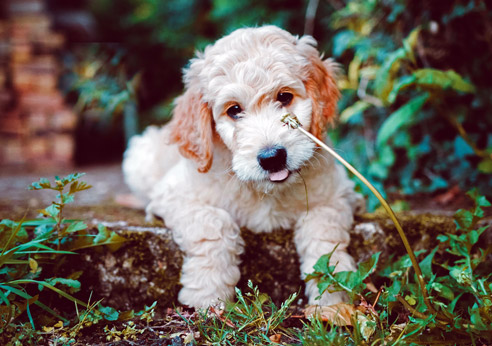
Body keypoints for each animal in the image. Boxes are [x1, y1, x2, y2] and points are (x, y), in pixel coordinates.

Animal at [121, 26, 364, 308]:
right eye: (234, 110)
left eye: (284, 97)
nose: (272, 157)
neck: (265, 192)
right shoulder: (173, 194)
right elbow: (213, 222)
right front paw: (207, 294)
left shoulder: (338, 192)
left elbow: (324, 230)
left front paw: (333, 295)